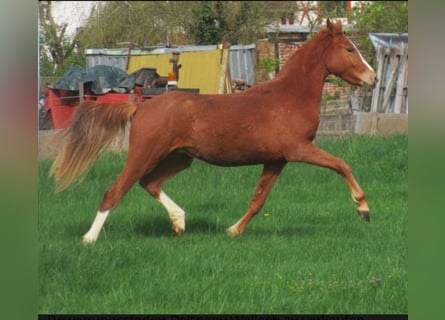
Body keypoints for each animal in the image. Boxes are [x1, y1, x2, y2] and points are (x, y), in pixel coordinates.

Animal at [49, 20, 374, 244]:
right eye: (349, 49)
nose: (372, 77)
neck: (289, 97)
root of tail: (141, 108)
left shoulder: (276, 160)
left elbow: (257, 200)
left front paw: (233, 230)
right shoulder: (298, 150)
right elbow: (342, 165)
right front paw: (364, 209)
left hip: (180, 158)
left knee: (149, 183)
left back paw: (179, 222)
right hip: (144, 153)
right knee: (115, 191)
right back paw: (89, 239)